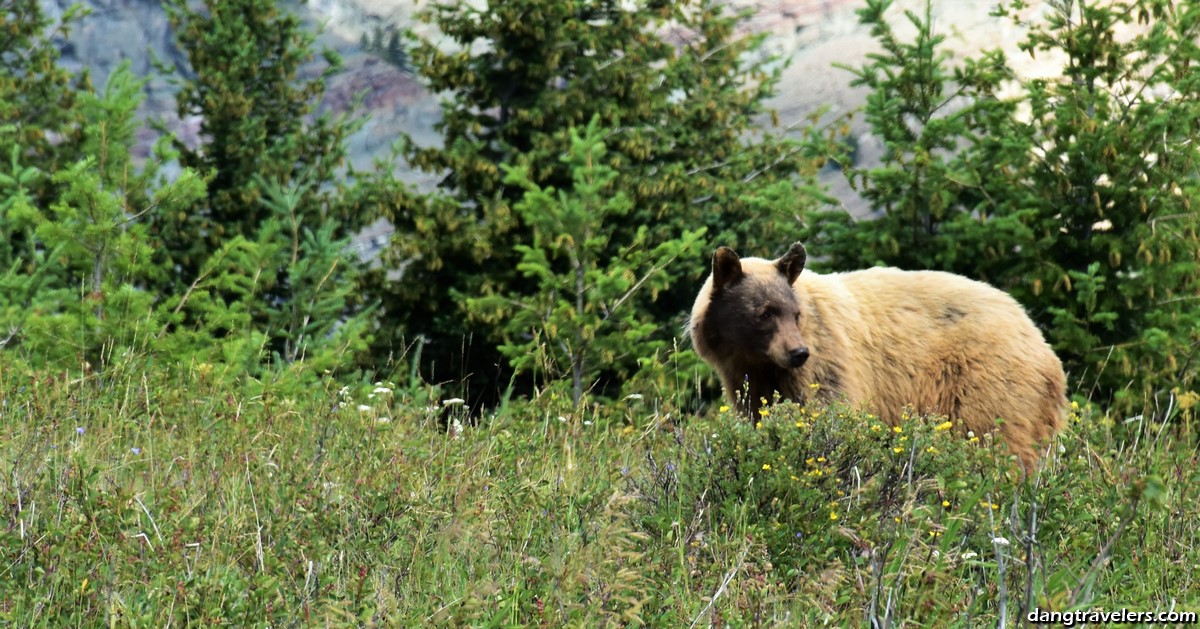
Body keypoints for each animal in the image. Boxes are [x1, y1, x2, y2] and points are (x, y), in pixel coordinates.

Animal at [691, 243, 1065, 468]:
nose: (799, 352)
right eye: (766, 313)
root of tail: (1043, 346)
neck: (758, 361)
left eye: (794, 314)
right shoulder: (751, 379)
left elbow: (828, 413)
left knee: (998, 442)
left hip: (990, 385)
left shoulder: (825, 364)